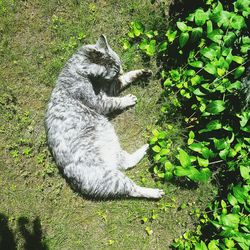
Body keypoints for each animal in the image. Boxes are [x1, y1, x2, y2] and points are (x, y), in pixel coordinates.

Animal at [45, 34, 165, 199]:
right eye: (115, 71)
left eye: (119, 64)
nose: (121, 69)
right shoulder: (100, 102)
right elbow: (115, 101)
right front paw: (127, 99)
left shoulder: (111, 87)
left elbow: (126, 78)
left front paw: (141, 72)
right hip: (111, 177)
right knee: (132, 188)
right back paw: (153, 191)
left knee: (127, 162)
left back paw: (149, 145)